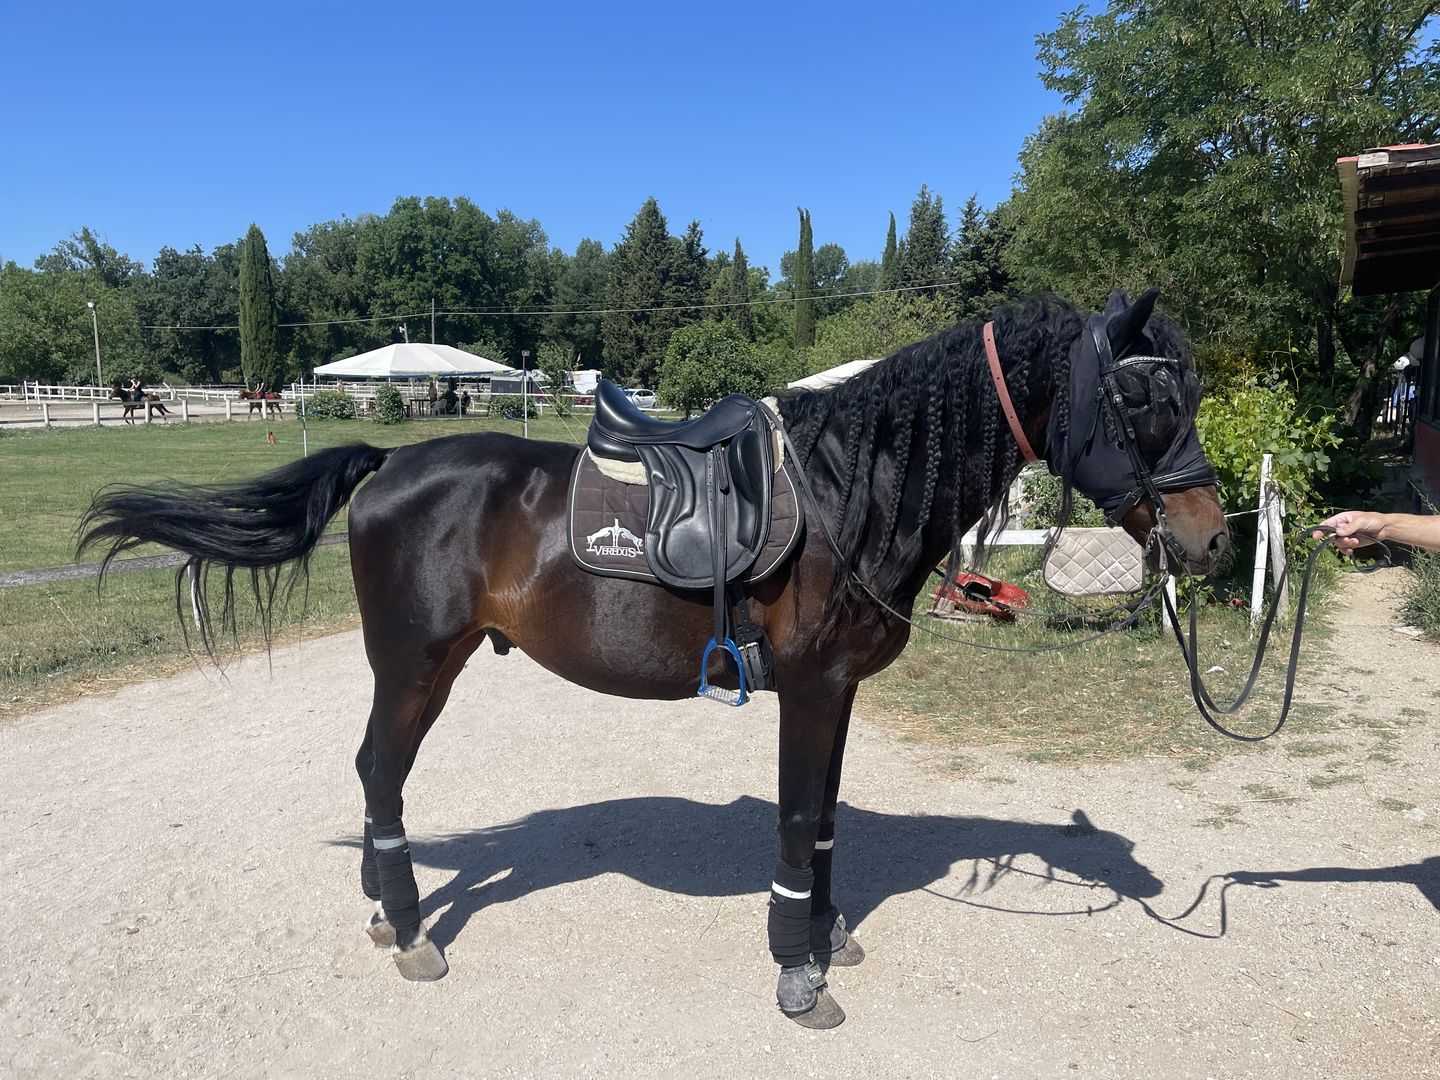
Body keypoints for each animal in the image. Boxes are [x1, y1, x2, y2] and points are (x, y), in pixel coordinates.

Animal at [78, 289, 1229, 1029]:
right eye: (1141, 401)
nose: (1213, 542)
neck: (852, 485)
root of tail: (389, 460)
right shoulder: (811, 690)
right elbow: (799, 820)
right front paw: (797, 974)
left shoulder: (841, 693)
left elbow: (825, 824)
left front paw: (829, 932)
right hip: (415, 664)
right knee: (379, 772)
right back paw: (407, 928)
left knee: (379, 779)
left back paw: (381, 908)